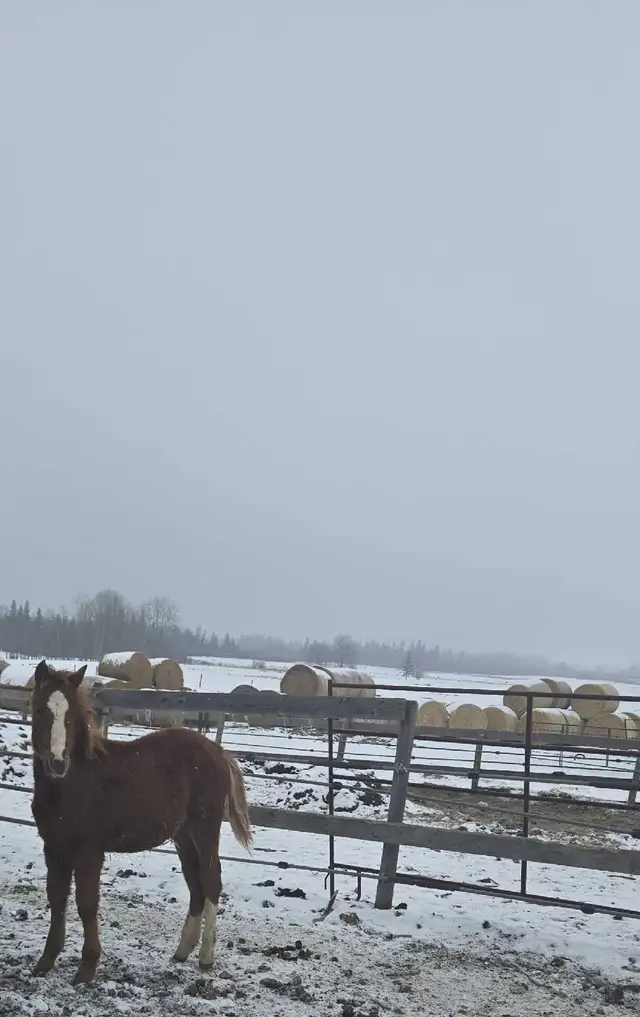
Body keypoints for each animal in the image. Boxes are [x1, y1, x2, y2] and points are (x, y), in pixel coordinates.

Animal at [29, 659, 252, 985]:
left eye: (70, 715)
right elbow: (57, 899)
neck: (71, 785)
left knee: (211, 880)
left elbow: (86, 903)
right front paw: (45, 961)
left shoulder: (89, 850)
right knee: (195, 883)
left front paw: (87, 968)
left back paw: (206, 957)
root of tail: (219, 752)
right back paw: (182, 951)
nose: (57, 762)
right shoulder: (53, 847)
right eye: (39, 710)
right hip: (184, 836)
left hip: (205, 828)